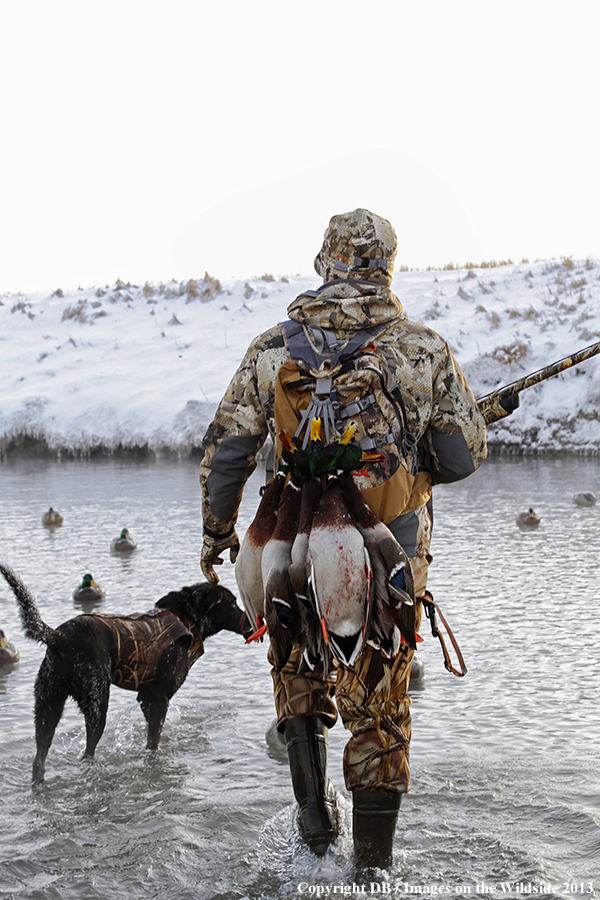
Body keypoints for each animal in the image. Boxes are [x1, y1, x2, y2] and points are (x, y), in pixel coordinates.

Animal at [0, 568, 248, 784]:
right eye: (233, 603)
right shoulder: (158, 696)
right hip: (96, 701)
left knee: (39, 759)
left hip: (47, 706)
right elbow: (153, 739)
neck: (188, 618)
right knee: (88, 749)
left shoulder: (145, 696)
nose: (249, 620)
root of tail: (58, 637)